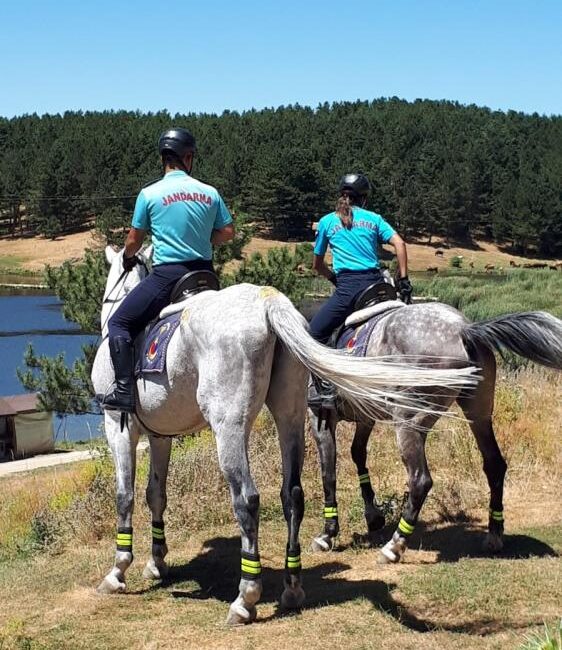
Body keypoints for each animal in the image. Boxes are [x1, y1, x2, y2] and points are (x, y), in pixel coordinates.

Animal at [92, 246, 476, 620]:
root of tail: (268, 302)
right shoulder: (161, 436)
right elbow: (155, 494)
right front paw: (156, 562)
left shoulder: (117, 425)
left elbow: (124, 495)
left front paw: (118, 570)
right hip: (290, 416)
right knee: (292, 494)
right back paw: (292, 586)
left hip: (231, 427)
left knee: (247, 499)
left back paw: (246, 597)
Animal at [308, 302, 556, 560]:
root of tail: (463, 329)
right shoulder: (366, 419)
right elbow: (358, 454)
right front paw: (373, 516)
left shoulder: (320, 419)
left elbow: (328, 474)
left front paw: (327, 534)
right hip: (478, 414)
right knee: (494, 465)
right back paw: (494, 535)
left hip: (409, 422)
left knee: (420, 480)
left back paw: (394, 545)